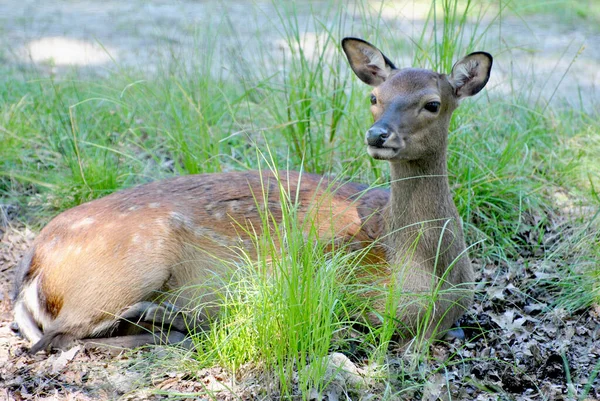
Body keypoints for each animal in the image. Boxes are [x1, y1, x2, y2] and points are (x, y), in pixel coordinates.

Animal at [11, 36, 492, 350]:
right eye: (374, 97)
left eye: (432, 103)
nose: (377, 135)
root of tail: (33, 265)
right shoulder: (332, 274)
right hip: (129, 264)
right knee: (58, 339)